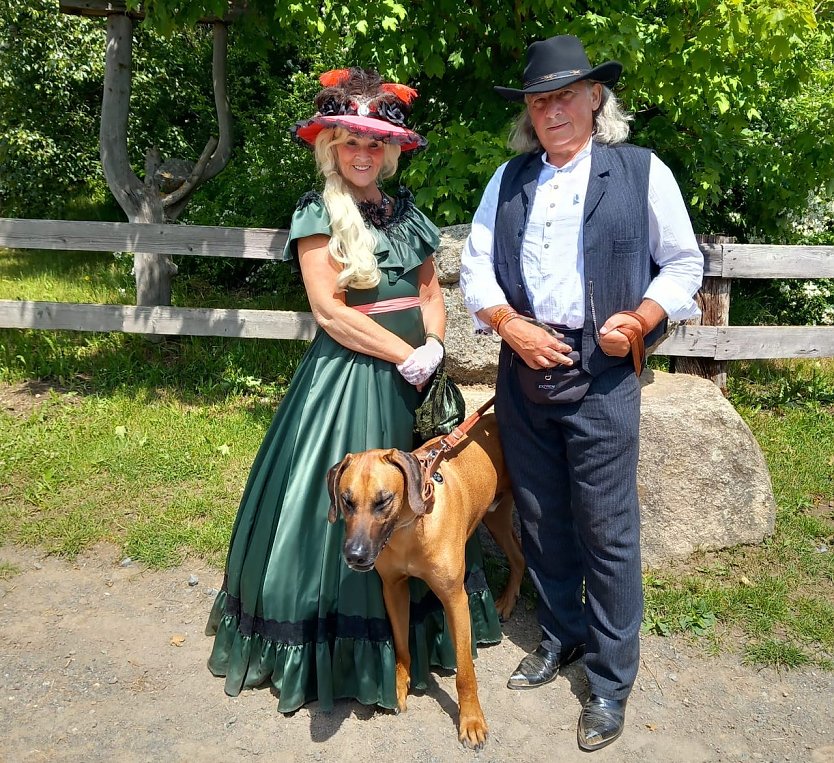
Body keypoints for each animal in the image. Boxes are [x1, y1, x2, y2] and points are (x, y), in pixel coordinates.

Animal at [324, 414, 520, 748]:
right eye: (347, 501)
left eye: (383, 501)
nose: (355, 556)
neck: (408, 528)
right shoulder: (393, 589)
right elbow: (402, 645)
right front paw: (398, 686)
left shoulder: (455, 599)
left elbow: (465, 672)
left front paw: (471, 720)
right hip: (496, 516)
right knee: (520, 556)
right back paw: (507, 601)